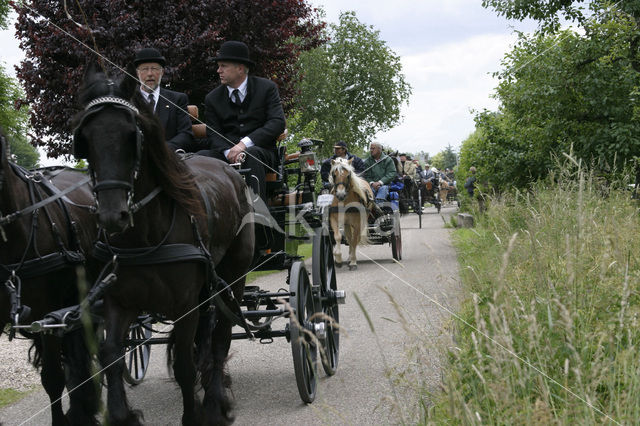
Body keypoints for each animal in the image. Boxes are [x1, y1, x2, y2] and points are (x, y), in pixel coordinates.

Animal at [74, 64, 254, 426]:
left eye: (131, 135)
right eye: (84, 139)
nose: (113, 215)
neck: (145, 237)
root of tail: (230, 170)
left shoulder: (185, 305)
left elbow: (185, 364)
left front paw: (195, 414)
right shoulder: (119, 300)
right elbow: (111, 354)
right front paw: (122, 415)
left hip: (234, 276)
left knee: (221, 338)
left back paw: (215, 402)